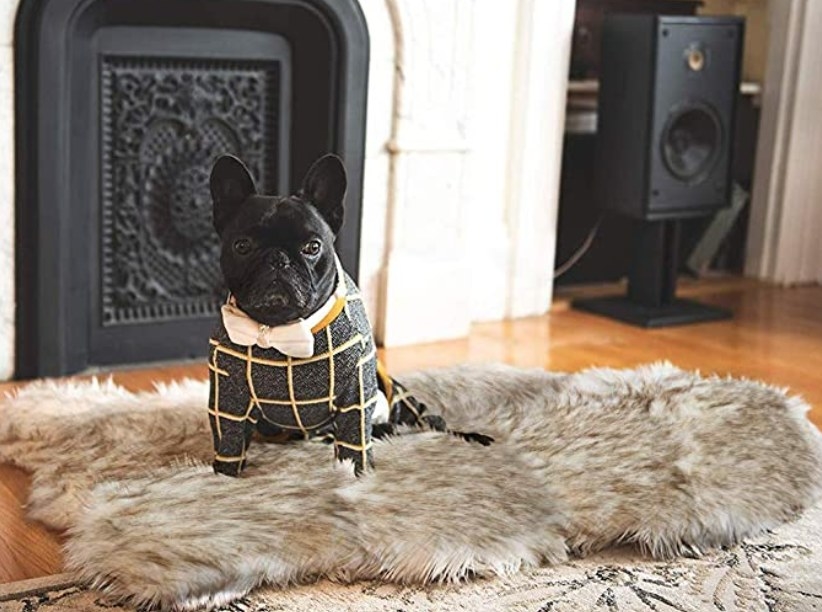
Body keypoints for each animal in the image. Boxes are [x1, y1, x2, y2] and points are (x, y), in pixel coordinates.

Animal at [209, 154, 492, 478]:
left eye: (312, 247)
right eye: (242, 246)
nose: (277, 259)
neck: (280, 331)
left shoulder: (355, 392)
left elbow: (354, 438)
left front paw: (357, 474)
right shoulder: (227, 394)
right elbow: (229, 436)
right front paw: (225, 477)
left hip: (398, 396)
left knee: (428, 421)